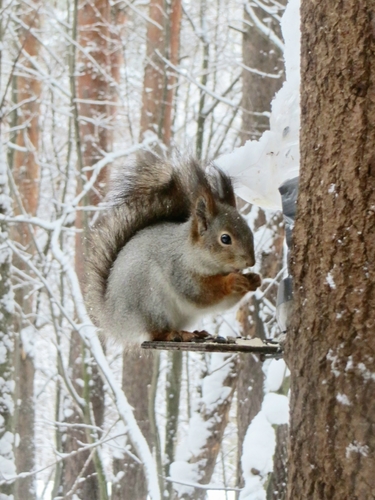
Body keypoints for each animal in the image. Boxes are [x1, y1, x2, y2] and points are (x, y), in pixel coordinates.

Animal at [85, 153, 262, 344]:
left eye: (248, 229)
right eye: (225, 239)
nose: (251, 262)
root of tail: (113, 321)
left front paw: (253, 279)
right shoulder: (178, 270)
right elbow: (200, 293)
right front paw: (233, 281)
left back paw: (195, 333)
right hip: (151, 304)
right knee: (155, 333)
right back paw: (175, 334)